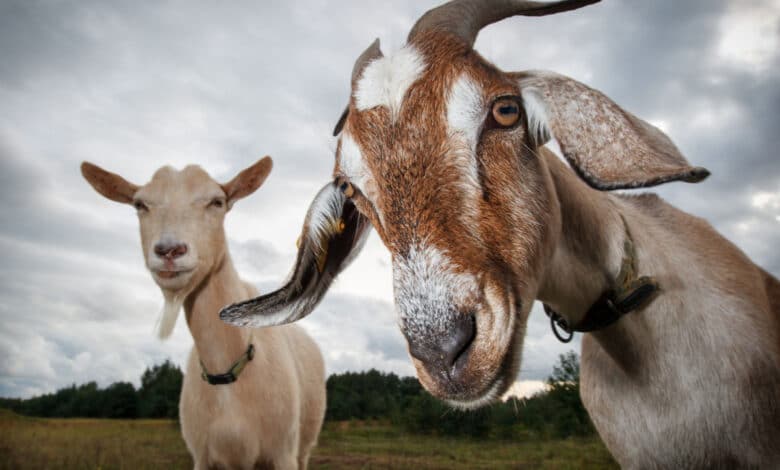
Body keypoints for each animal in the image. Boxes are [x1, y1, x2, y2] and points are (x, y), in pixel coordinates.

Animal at [81, 158, 326, 470]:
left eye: (217, 202)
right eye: (140, 204)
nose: (169, 250)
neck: (227, 370)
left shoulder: (283, 453)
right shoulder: (202, 456)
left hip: (304, 444)